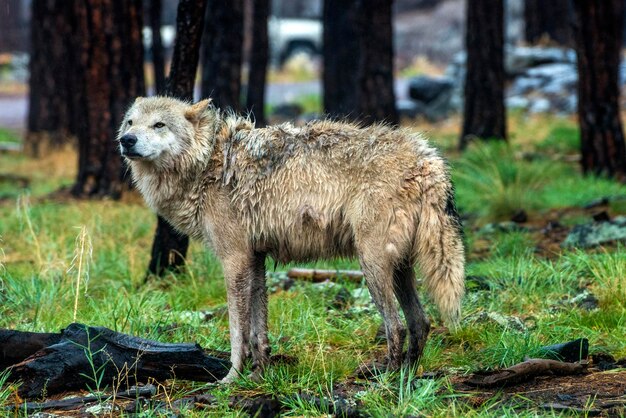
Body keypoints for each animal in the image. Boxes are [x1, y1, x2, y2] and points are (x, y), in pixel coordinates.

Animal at [119, 95, 466, 382]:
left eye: (159, 125)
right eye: (131, 122)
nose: (126, 140)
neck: (207, 164)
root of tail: (428, 158)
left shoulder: (234, 260)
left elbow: (236, 331)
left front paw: (232, 379)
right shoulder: (255, 260)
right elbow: (258, 331)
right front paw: (259, 374)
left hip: (372, 265)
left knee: (396, 326)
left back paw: (386, 381)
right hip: (400, 268)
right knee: (420, 322)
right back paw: (407, 376)